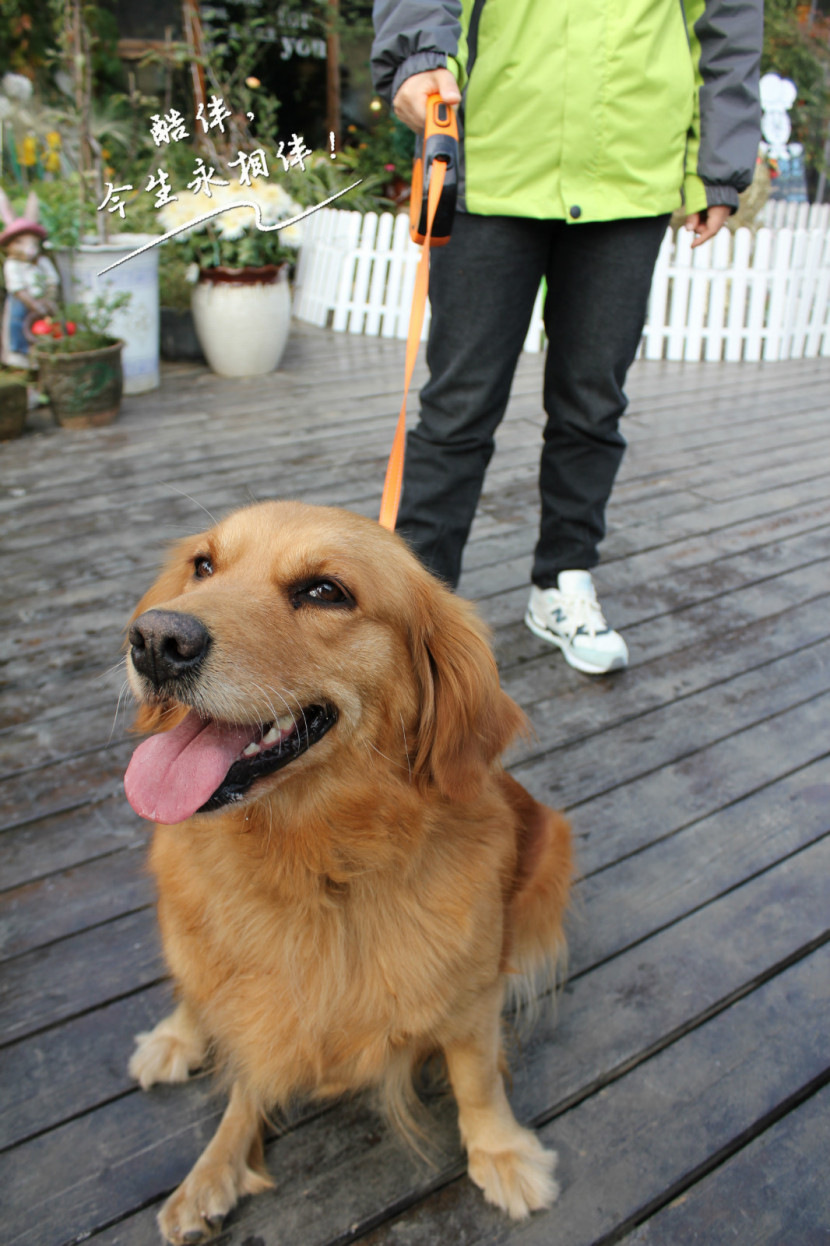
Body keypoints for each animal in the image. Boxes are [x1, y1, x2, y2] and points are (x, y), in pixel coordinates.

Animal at [122, 500, 573, 1241]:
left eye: (325, 591)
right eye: (203, 566)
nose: (155, 640)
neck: (314, 864)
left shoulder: (470, 994)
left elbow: (477, 1078)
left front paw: (502, 1153)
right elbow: (246, 1072)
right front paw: (213, 1168)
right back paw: (176, 1035)